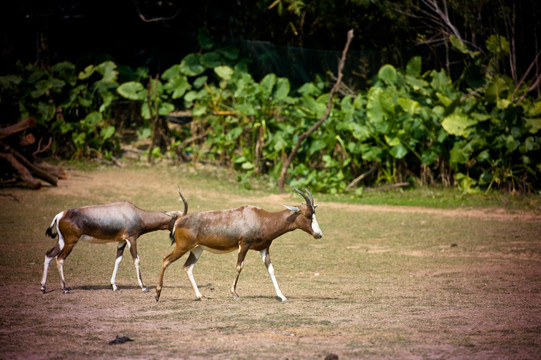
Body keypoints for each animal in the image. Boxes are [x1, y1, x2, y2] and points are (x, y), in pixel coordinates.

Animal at [40, 193, 188, 294]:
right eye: (179, 221)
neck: (135, 213)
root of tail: (60, 215)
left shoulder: (121, 241)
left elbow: (118, 260)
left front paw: (114, 286)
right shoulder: (132, 239)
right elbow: (136, 260)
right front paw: (144, 287)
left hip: (62, 241)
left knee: (49, 254)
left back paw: (43, 287)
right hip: (71, 242)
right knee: (60, 259)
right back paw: (65, 289)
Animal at [155, 187, 324, 302]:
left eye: (314, 214)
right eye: (308, 215)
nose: (319, 234)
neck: (260, 217)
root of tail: (179, 220)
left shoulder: (264, 249)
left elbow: (271, 270)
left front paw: (282, 296)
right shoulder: (244, 245)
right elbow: (239, 266)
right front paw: (235, 293)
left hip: (197, 249)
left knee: (187, 267)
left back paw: (201, 296)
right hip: (182, 247)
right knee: (165, 260)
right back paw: (157, 294)